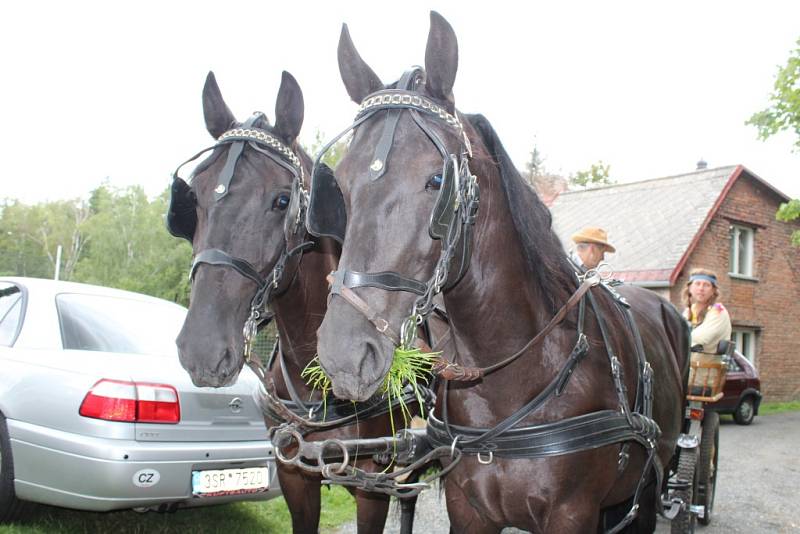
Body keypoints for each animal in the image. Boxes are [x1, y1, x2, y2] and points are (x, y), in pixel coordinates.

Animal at [310, 12, 688, 534]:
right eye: (340, 186)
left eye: (437, 180)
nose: (343, 355)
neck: (512, 380)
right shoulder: (468, 509)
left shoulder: (573, 514)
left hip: (649, 484)